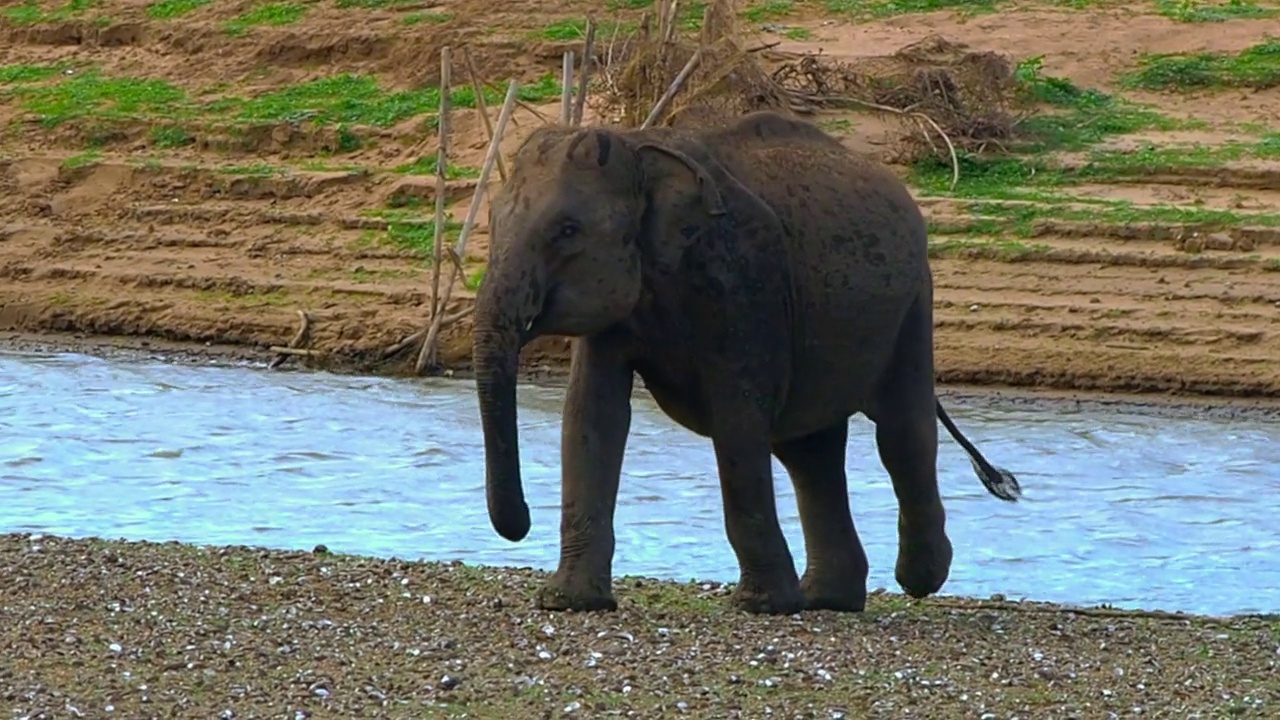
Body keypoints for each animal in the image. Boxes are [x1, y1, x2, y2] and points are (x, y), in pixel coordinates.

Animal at [471, 109, 1018, 614]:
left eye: (567, 230)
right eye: (494, 222)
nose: (520, 524)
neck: (638, 147)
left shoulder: (744, 279)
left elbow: (737, 417)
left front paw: (759, 605)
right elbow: (592, 413)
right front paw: (568, 602)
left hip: (913, 301)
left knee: (901, 434)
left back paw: (917, 580)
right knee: (809, 454)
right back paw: (826, 599)